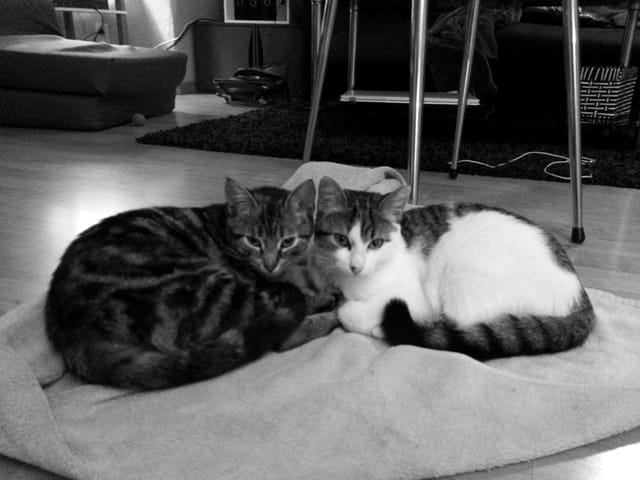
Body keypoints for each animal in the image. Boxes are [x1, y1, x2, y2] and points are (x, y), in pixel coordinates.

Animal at [45, 177, 329, 389]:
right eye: (253, 241)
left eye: (287, 242)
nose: (269, 264)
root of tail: (75, 332)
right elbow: (297, 292)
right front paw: (319, 292)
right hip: (214, 289)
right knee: (283, 333)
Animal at [311, 176, 596, 360]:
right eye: (341, 240)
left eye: (376, 243)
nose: (355, 266)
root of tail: (580, 295)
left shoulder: (416, 298)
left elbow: (350, 312)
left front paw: (354, 314)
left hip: (464, 276)